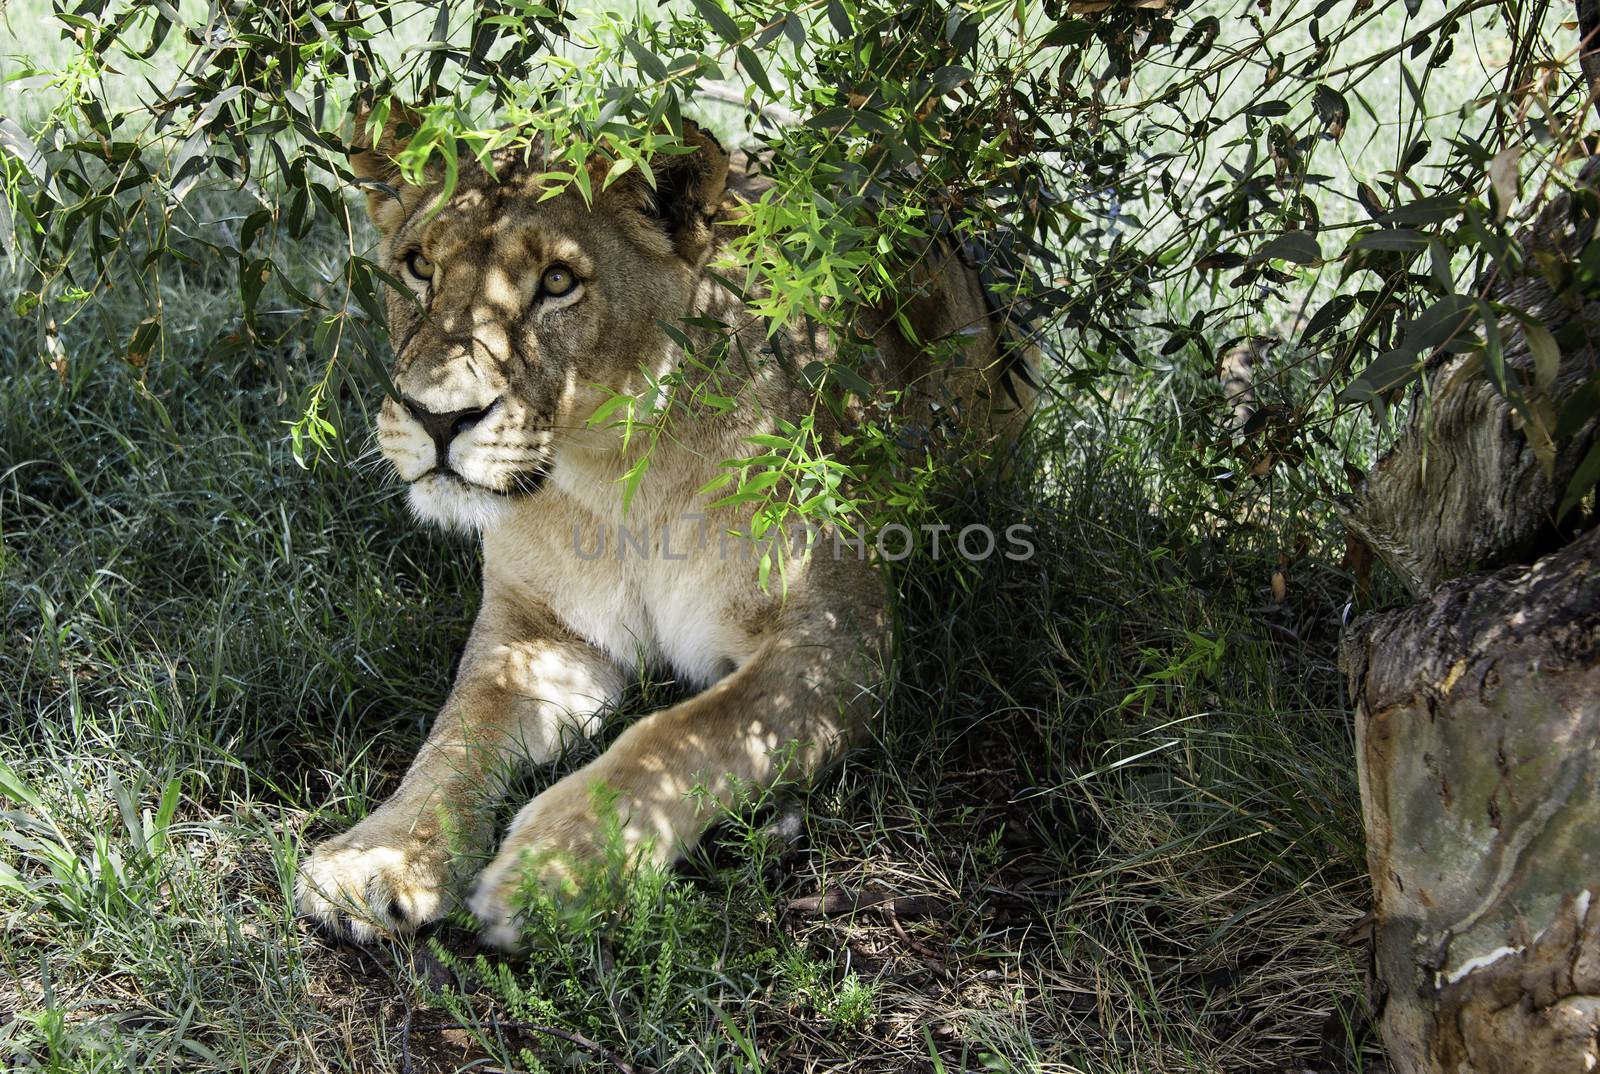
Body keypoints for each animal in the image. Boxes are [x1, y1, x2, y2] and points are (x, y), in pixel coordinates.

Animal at [294, 111, 1030, 947]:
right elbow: (458, 733)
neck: (616, 477)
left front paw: (556, 869)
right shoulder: (535, 630)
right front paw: (376, 857)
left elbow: (689, 731)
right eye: (419, 266)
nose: (437, 418)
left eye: (558, 282)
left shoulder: (840, 638)